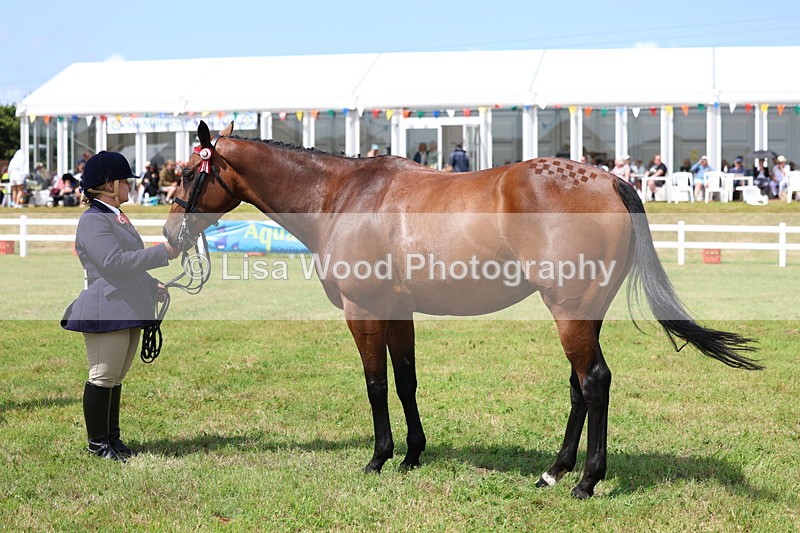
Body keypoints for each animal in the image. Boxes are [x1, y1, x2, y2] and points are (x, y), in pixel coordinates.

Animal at [164, 121, 760, 499]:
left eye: (187, 175)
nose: (169, 234)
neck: (342, 196)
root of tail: (611, 179)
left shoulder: (363, 309)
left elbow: (375, 385)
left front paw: (378, 457)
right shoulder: (397, 310)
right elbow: (405, 381)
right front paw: (411, 455)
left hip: (569, 312)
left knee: (593, 381)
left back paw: (586, 481)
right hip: (583, 313)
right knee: (579, 386)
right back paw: (554, 472)